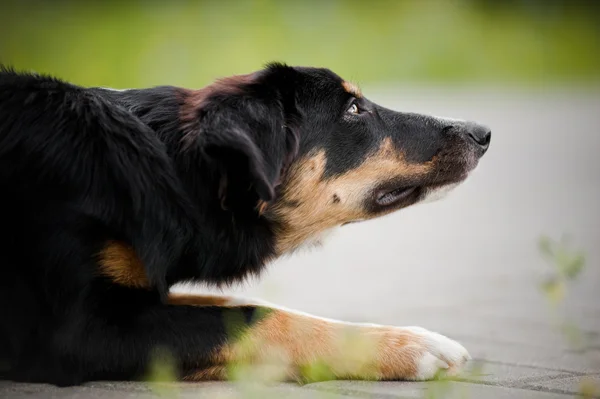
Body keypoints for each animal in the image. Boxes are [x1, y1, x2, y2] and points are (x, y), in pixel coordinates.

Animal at [0, 63, 490, 388]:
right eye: (353, 109)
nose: (482, 133)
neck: (173, 170)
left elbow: (242, 304)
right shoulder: (82, 330)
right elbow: (260, 317)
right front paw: (408, 347)